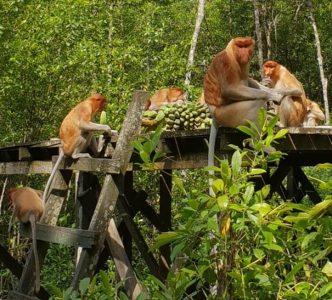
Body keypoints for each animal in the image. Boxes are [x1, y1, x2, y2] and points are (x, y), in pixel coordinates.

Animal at [204, 37, 300, 195]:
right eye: (240, 46)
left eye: (246, 45)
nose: (244, 53)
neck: (233, 55)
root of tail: (213, 113)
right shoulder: (225, 62)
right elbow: (231, 89)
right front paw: (275, 95)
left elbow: (248, 80)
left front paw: (276, 91)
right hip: (227, 114)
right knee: (256, 103)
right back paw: (257, 143)